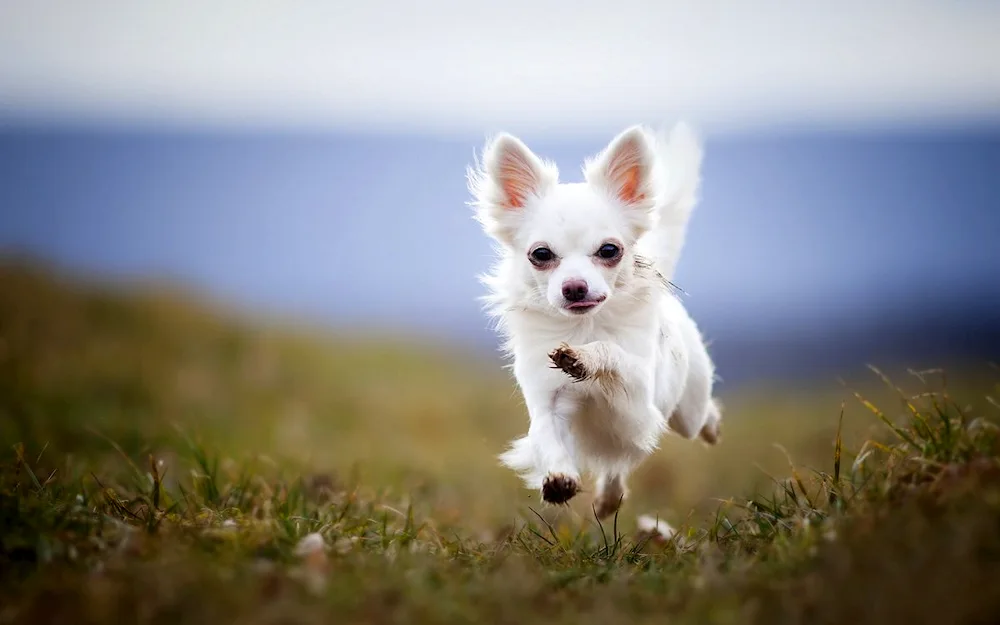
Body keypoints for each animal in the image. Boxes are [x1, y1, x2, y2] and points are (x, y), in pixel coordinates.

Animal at [468, 122, 720, 516]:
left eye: (609, 250)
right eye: (541, 254)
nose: (574, 287)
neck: (583, 328)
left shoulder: (638, 399)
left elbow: (611, 352)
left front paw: (583, 359)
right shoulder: (548, 403)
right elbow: (547, 437)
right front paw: (557, 478)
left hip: (686, 409)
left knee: (699, 417)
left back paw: (711, 427)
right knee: (616, 469)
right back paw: (606, 500)